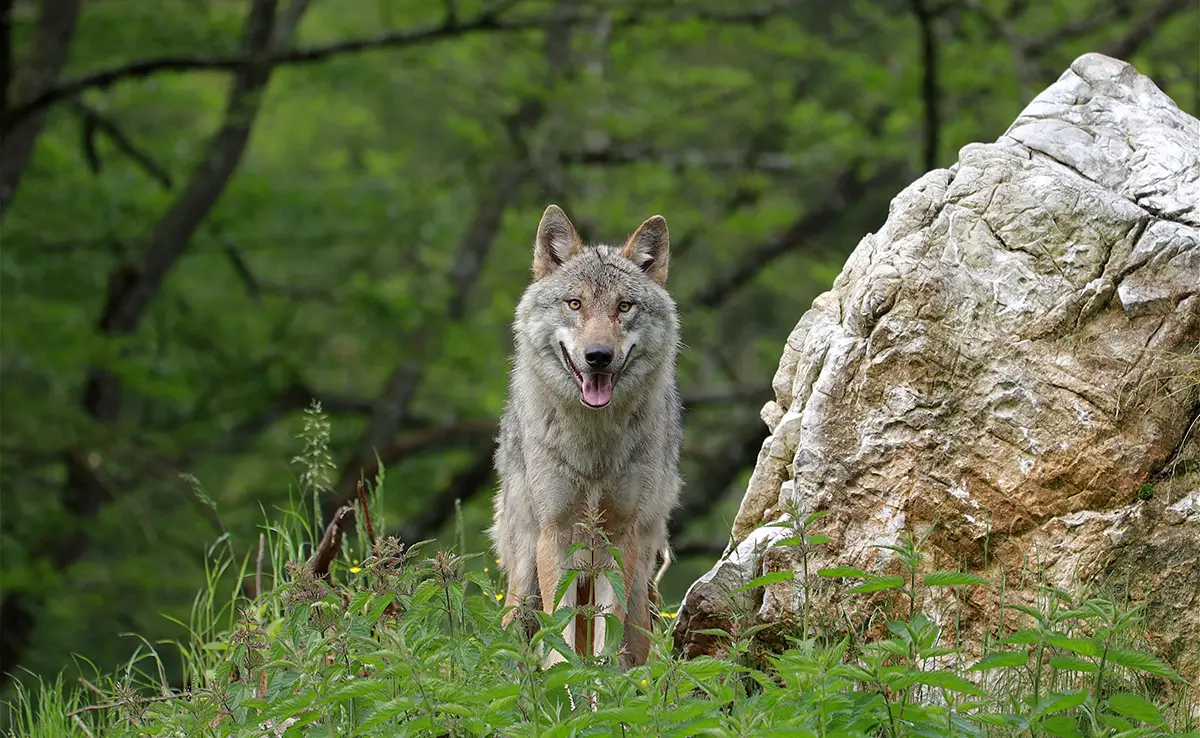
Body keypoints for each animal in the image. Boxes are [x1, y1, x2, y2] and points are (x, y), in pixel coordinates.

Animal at [489, 204, 686, 672]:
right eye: (575, 303)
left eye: (624, 306)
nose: (598, 356)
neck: (594, 448)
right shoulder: (555, 536)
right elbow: (558, 638)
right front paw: (566, 687)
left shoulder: (620, 537)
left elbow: (605, 641)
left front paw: (601, 689)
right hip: (524, 580)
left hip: (639, 586)